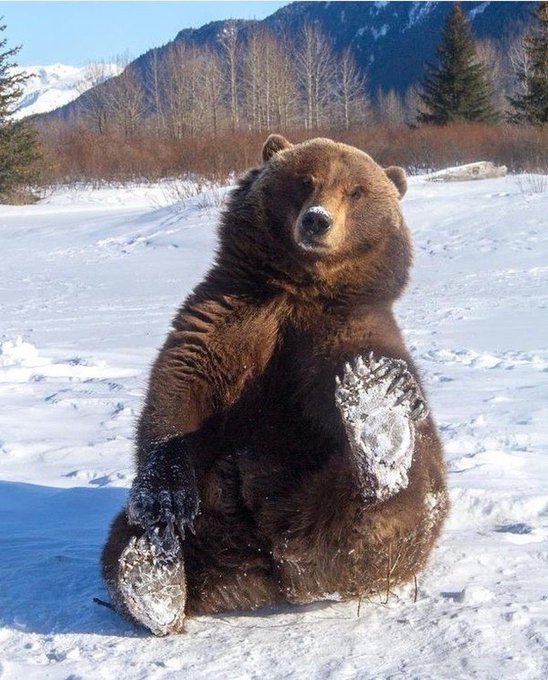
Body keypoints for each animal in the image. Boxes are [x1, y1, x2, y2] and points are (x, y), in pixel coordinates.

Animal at [101, 135, 448, 635]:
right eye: (305, 180)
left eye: (356, 191)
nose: (317, 220)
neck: (297, 289)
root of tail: (272, 568)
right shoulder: (226, 319)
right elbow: (178, 394)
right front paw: (166, 501)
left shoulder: (341, 333)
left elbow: (334, 398)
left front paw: (377, 394)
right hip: (212, 514)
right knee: (123, 539)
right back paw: (153, 574)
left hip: (361, 519)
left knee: (395, 504)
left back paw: (379, 428)